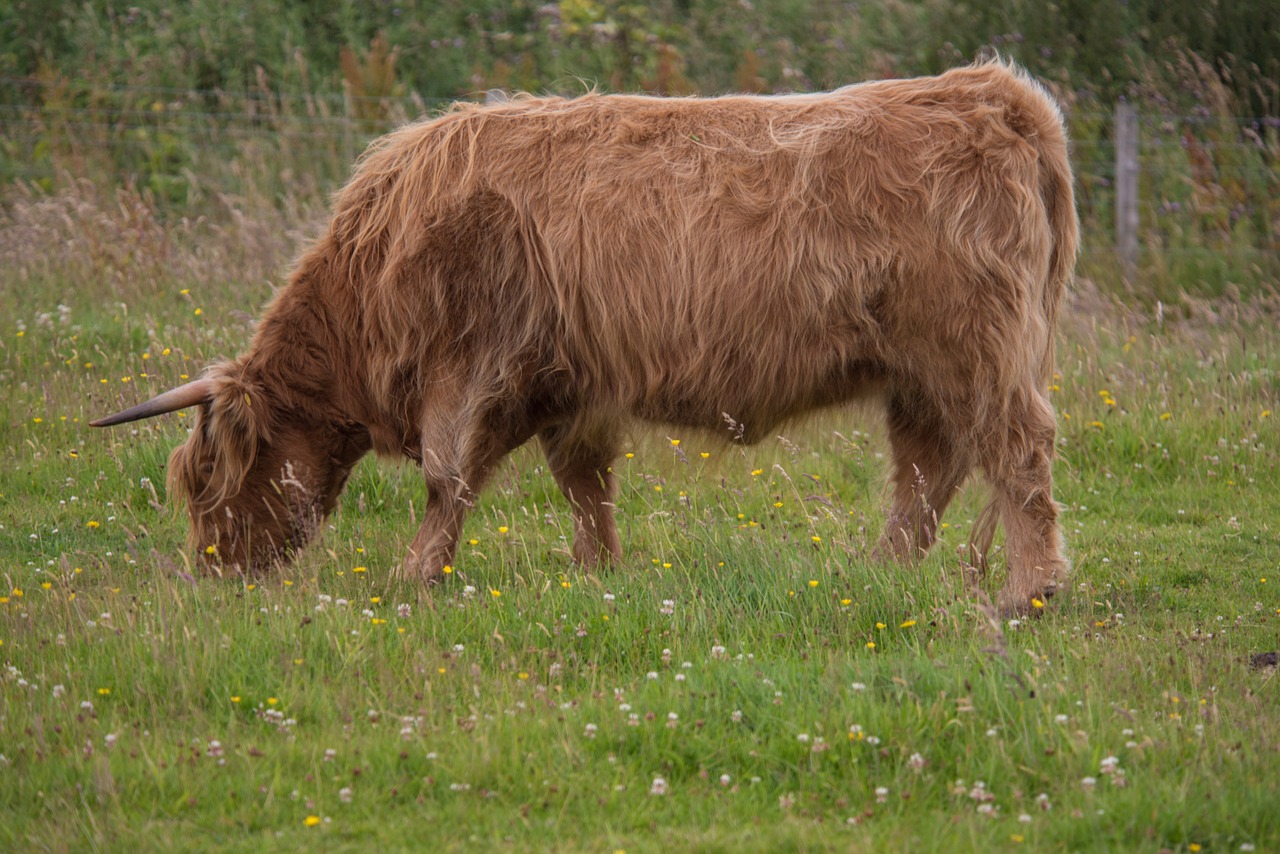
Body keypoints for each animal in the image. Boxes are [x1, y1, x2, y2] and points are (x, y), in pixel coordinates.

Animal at [94, 60, 1080, 614]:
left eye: (209, 478)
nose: (211, 572)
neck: (371, 286)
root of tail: (992, 92)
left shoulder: (470, 365)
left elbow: (448, 476)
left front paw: (413, 579)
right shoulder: (567, 386)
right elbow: (581, 482)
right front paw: (599, 571)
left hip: (976, 349)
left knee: (1016, 449)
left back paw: (1028, 592)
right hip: (918, 371)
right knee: (928, 468)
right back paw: (879, 575)